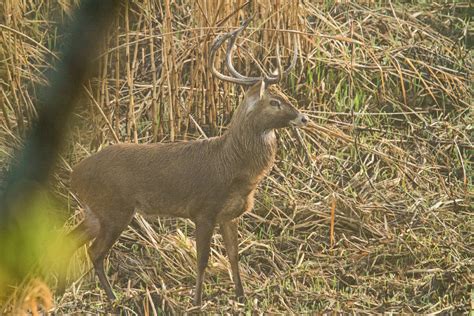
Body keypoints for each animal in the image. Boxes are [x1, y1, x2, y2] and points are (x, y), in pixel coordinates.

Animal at [59, 17, 310, 306]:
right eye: (274, 102)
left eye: (285, 96)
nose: (303, 118)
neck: (232, 163)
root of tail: (74, 175)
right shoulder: (203, 210)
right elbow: (202, 260)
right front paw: (197, 301)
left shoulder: (228, 214)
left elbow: (234, 256)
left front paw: (241, 297)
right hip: (114, 208)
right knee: (94, 251)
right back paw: (113, 298)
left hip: (95, 211)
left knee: (69, 242)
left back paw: (62, 291)